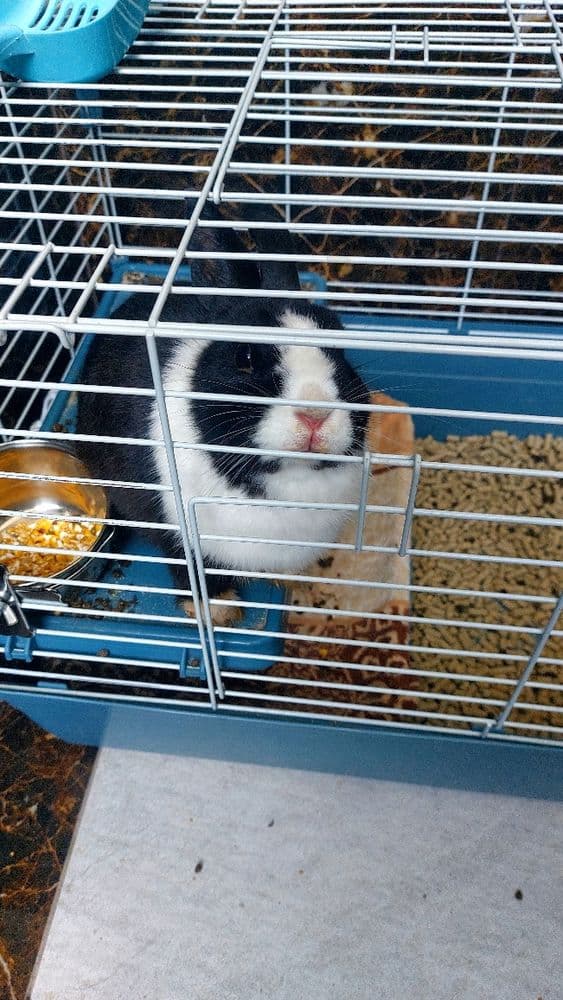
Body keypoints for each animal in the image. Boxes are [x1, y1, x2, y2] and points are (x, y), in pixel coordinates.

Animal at [76, 222, 369, 625]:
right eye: (244, 357)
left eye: (342, 355)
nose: (315, 415)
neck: (289, 478)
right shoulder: (178, 532)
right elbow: (190, 569)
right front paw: (220, 611)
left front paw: (294, 579)